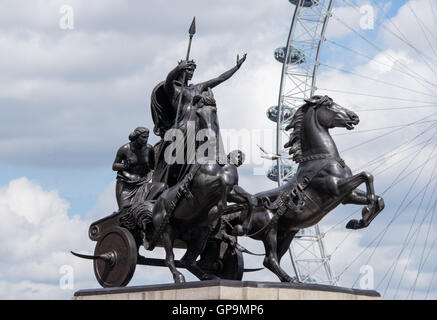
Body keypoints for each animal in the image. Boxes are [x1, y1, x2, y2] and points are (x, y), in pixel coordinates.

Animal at [232, 95, 382, 282]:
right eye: (329, 104)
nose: (354, 117)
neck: (322, 158)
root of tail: (243, 208)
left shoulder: (347, 196)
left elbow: (379, 199)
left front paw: (359, 221)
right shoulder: (337, 188)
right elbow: (367, 175)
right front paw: (365, 212)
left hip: (287, 233)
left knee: (273, 259)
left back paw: (289, 280)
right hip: (269, 231)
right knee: (270, 259)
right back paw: (291, 280)